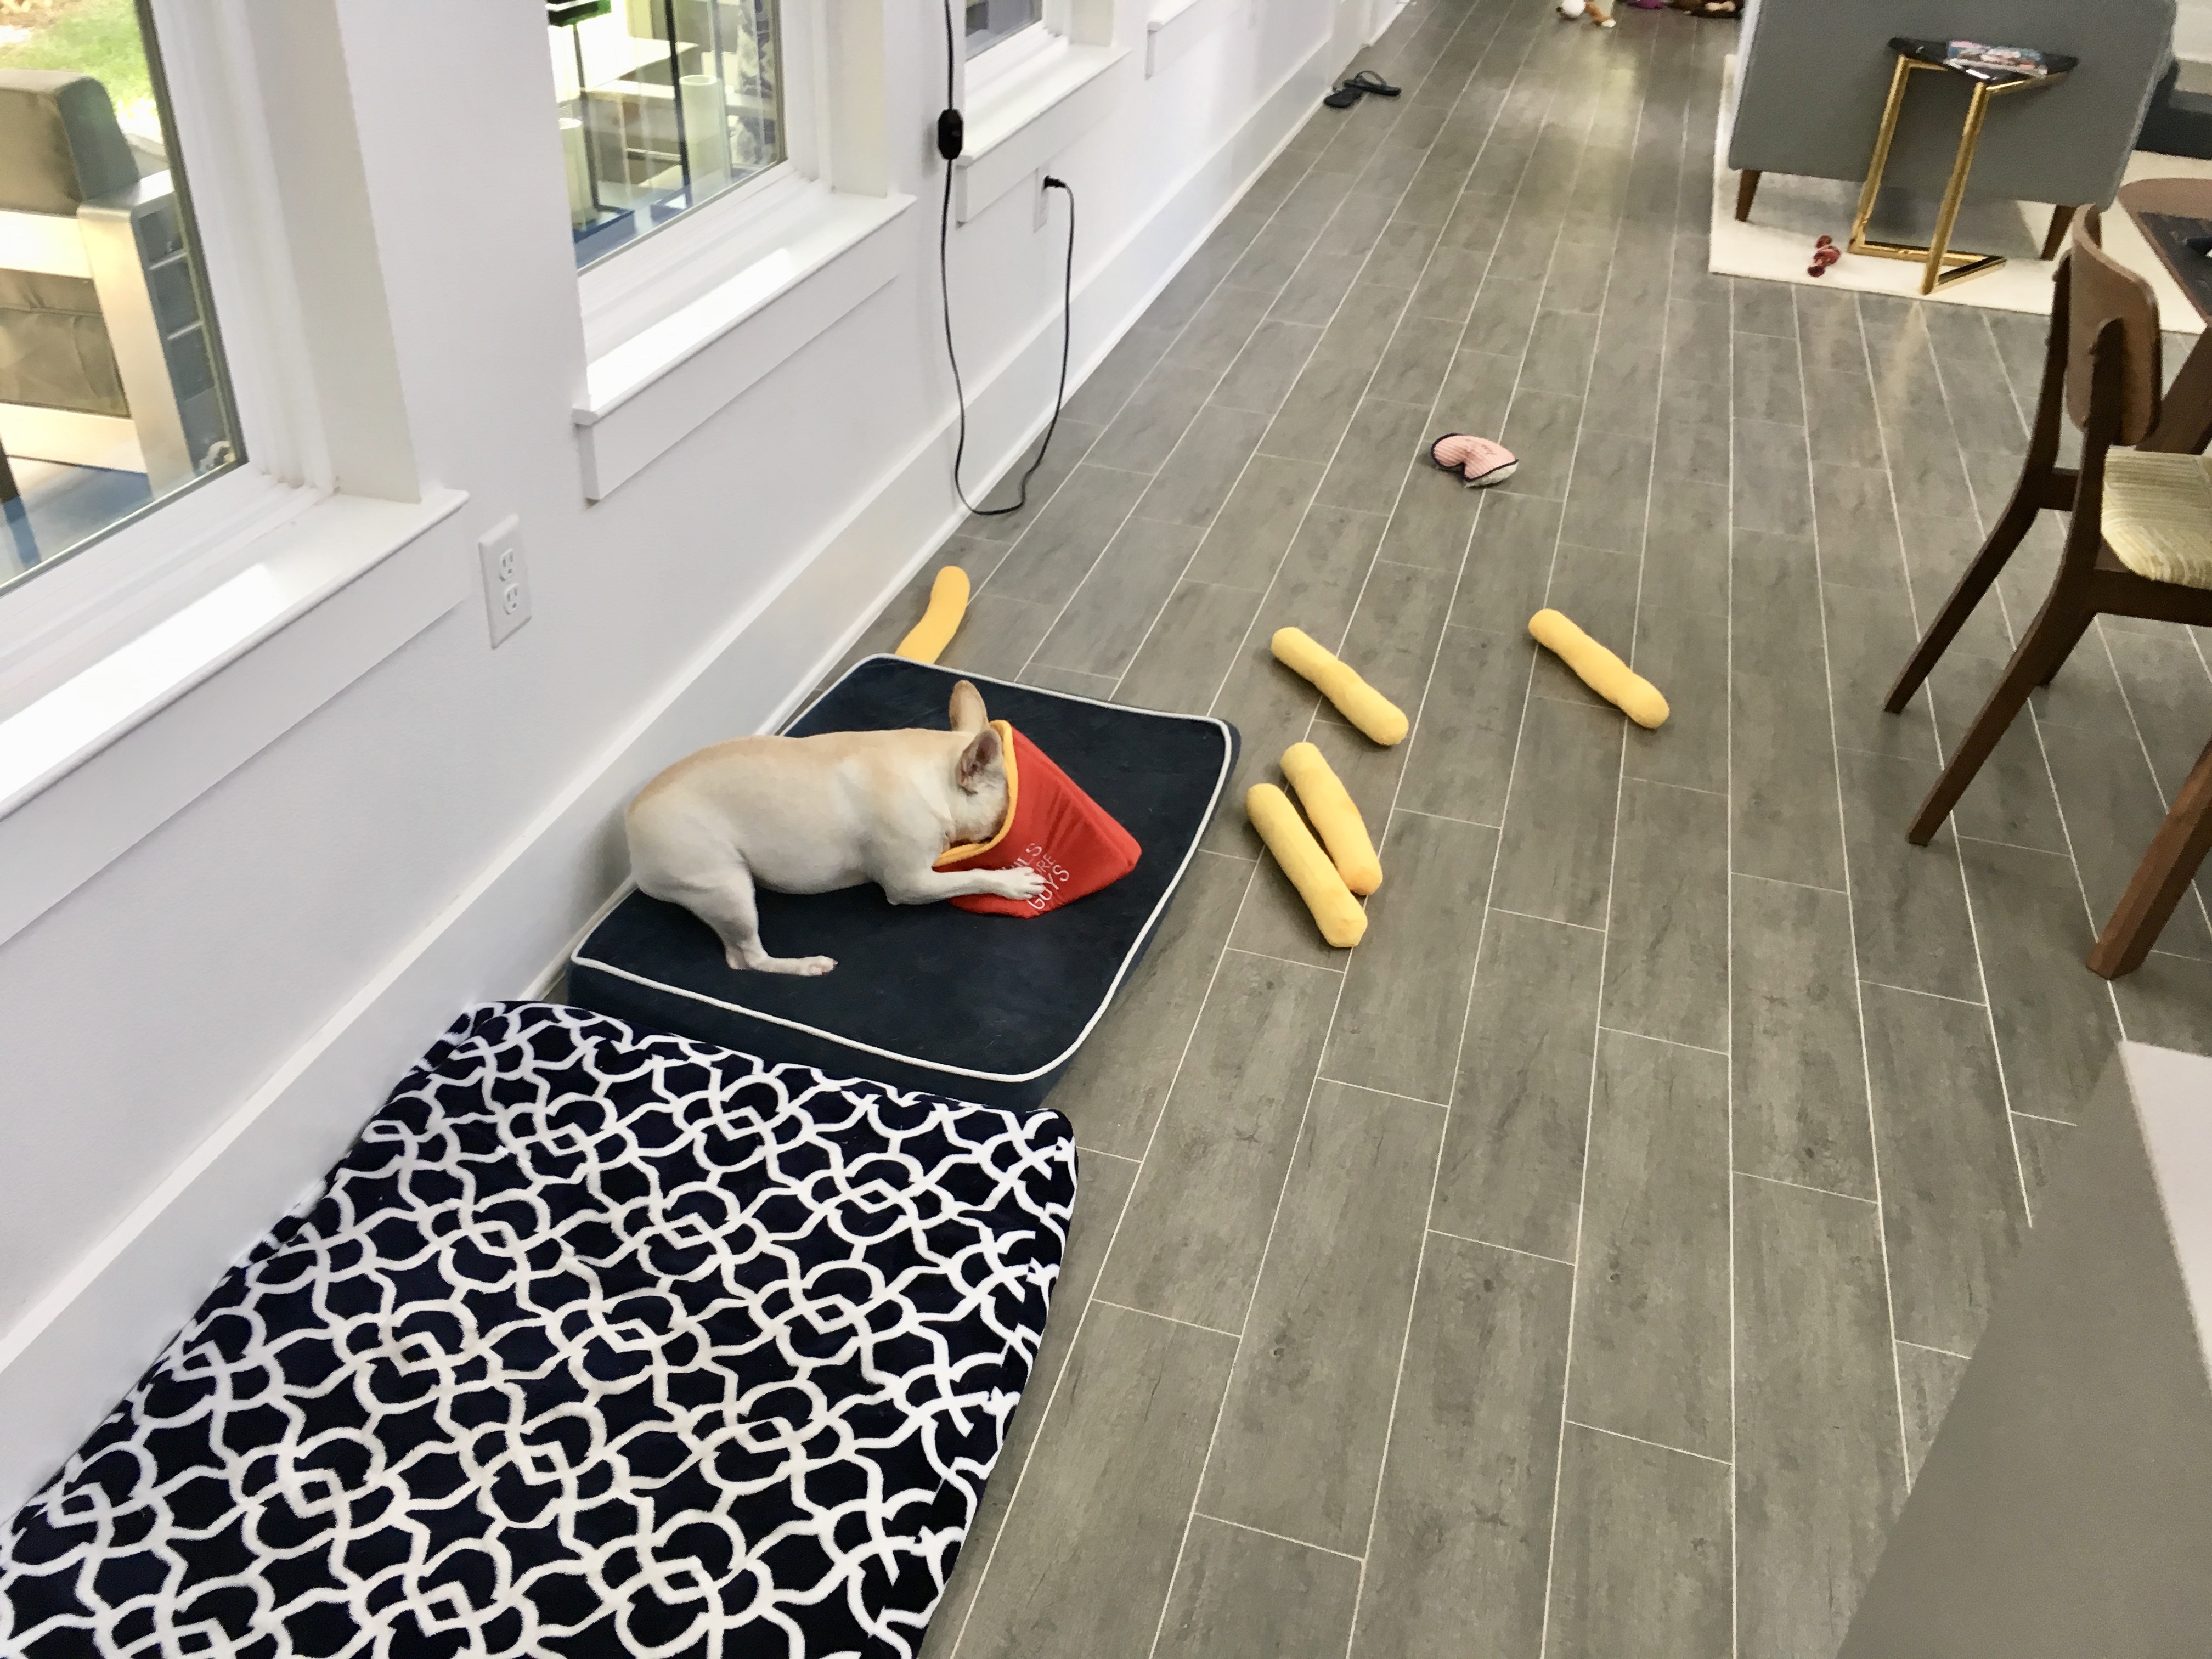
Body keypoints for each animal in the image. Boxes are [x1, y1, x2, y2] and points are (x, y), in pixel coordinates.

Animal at [625, 679, 1044, 976]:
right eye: (999, 821)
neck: (932, 775)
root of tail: (632, 835)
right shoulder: (910, 883)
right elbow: (970, 876)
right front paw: (1010, 881)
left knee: (735, 956)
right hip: (726, 887)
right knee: (751, 958)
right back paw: (806, 965)